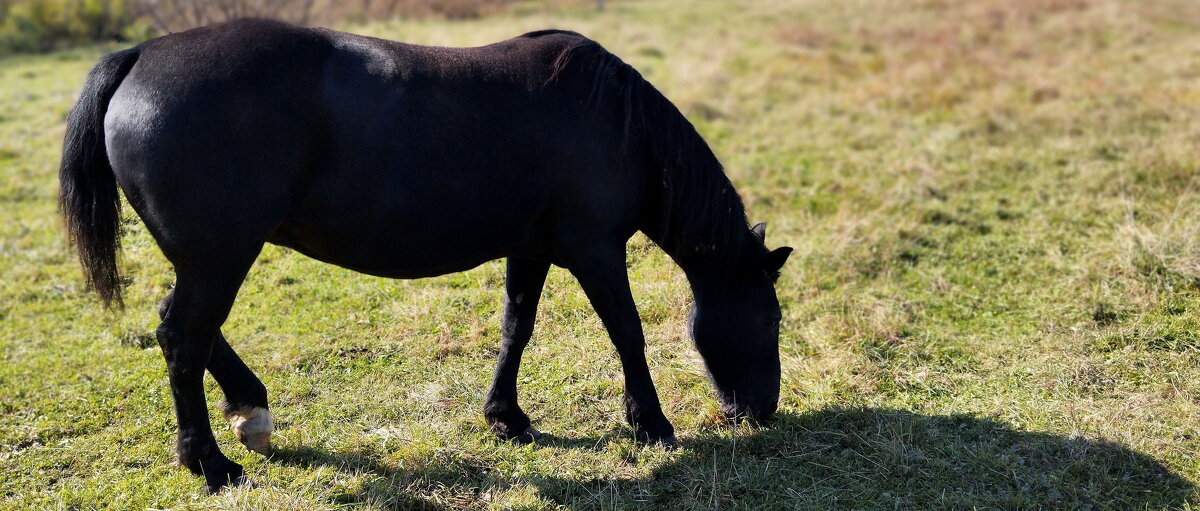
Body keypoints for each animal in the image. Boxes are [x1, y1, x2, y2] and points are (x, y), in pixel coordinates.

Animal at [58, 18, 787, 491]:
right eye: (770, 319)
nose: (760, 411)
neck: (616, 120)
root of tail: (139, 56)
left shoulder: (532, 248)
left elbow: (517, 328)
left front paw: (506, 417)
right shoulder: (594, 249)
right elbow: (627, 332)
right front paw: (652, 423)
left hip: (209, 258)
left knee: (189, 330)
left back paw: (250, 411)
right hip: (219, 257)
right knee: (183, 338)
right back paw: (209, 463)